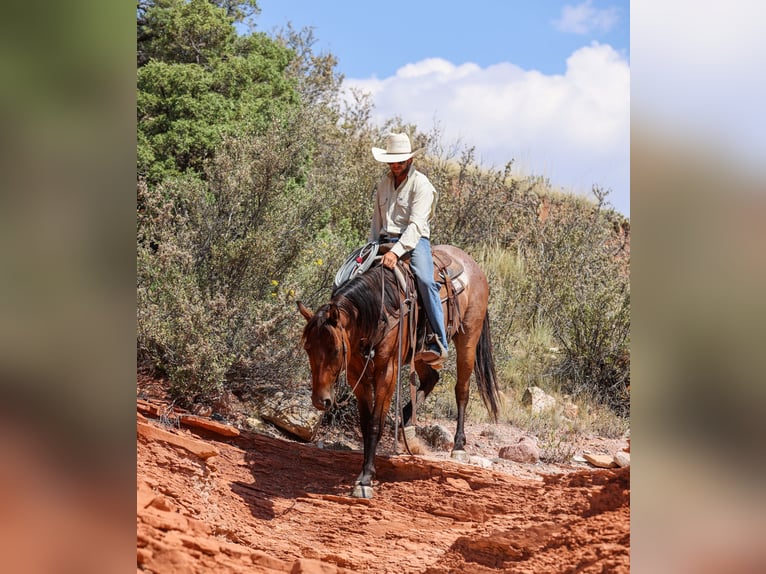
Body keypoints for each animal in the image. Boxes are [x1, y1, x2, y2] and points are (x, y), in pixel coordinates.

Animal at [297, 244, 499, 498]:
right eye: (307, 348)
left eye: (335, 350)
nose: (320, 400)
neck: (377, 313)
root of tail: (471, 263)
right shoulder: (356, 374)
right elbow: (366, 423)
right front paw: (364, 473)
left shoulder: (387, 372)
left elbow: (376, 423)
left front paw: (365, 480)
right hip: (418, 353)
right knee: (431, 378)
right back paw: (408, 425)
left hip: (468, 339)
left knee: (461, 390)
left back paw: (459, 446)